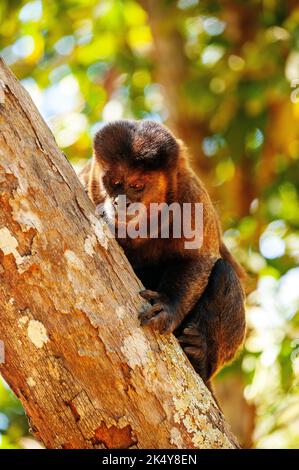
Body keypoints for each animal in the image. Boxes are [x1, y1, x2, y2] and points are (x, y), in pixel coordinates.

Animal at [79, 119, 246, 384]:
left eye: (137, 186)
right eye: (114, 182)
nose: (120, 202)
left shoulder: (190, 196)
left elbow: (198, 259)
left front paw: (168, 306)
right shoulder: (86, 180)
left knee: (224, 271)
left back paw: (200, 356)